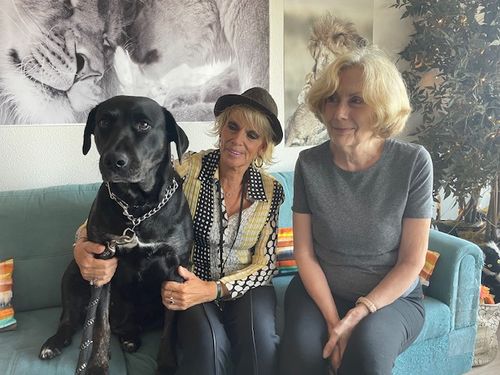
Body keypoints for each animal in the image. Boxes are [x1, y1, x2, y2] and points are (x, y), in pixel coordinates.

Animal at [38, 95, 191, 374]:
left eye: (144, 124)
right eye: (104, 122)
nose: (113, 161)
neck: (137, 207)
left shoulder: (176, 269)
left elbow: (170, 327)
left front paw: (166, 363)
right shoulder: (102, 264)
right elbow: (99, 324)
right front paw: (97, 364)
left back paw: (130, 338)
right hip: (74, 272)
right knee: (72, 319)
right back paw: (55, 342)